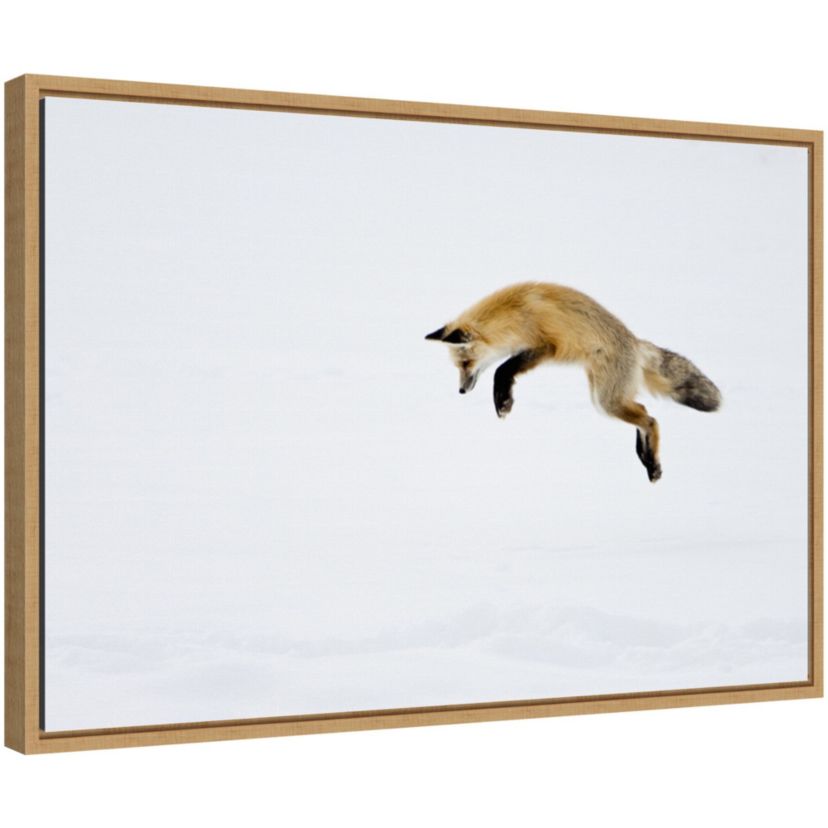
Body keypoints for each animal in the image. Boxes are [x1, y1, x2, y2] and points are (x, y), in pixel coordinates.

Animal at [425, 282, 721, 482]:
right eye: (458, 367)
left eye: (465, 364)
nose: (461, 390)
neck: (515, 313)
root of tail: (635, 343)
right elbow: (503, 368)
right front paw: (503, 400)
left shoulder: (545, 346)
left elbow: (502, 370)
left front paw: (503, 402)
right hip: (606, 397)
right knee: (645, 412)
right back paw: (646, 458)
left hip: (606, 400)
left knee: (651, 420)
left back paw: (652, 462)